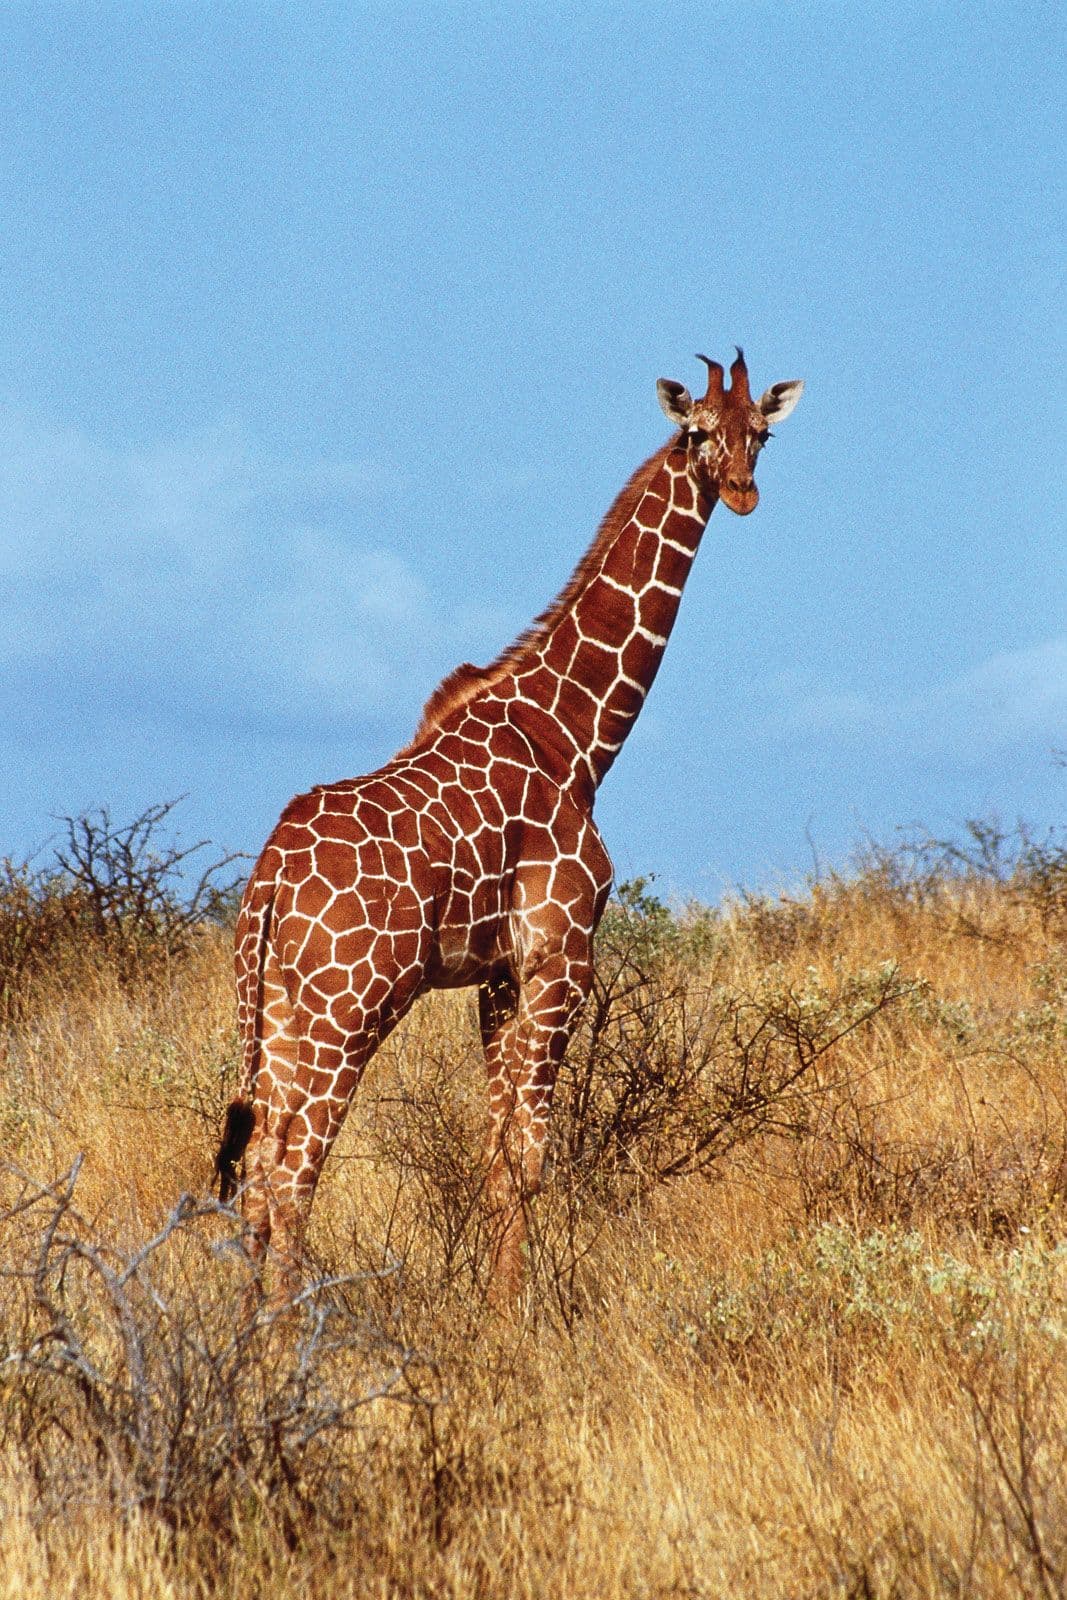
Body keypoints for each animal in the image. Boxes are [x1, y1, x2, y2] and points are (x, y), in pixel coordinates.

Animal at [216, 348, 803, 1301]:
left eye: (762, 433)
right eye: (694, 432)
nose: (742, 492)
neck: (574, 737)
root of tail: (268, 882)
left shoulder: (495, 974)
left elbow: (495, 1155)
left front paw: (499, 1303)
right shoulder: (562, 955)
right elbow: (529, 1157)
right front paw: (517, 1317)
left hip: (272, 1008)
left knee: (259, 1172)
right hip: (349, 1006)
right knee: (293, 1172)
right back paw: (285, 1332)